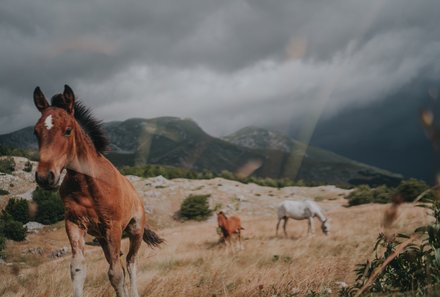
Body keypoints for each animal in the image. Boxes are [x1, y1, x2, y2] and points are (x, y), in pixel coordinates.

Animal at [32, 85, 163, 296]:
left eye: (68, 130)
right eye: (36, 132)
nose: (45, 177)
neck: (88, 185)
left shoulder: (113, 227)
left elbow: (115, 274)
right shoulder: (75, 223)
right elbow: (77, 269)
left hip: (135, 230)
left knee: (130, 263)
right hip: (103, 239)